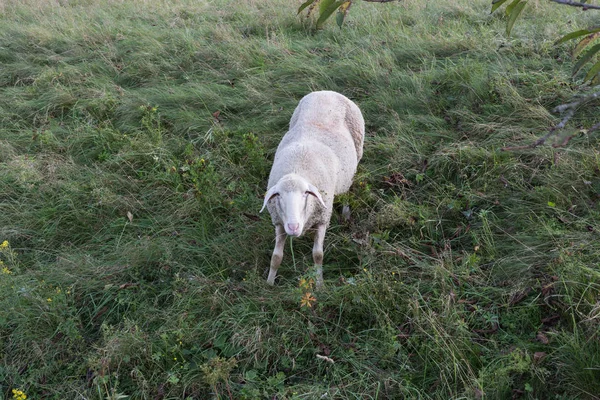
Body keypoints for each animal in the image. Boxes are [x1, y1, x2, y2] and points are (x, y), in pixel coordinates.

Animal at [258, 90, 366, 288]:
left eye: (305, 195)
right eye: (279, 196)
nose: (293, 227)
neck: (297, 167)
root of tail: (327, 91)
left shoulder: (322, 218)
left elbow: (318, 255)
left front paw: (320, 284)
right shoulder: (279, 222)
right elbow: (276, 257)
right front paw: (269, 283)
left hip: (355, 157)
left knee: (347, 189)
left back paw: (346, 211)